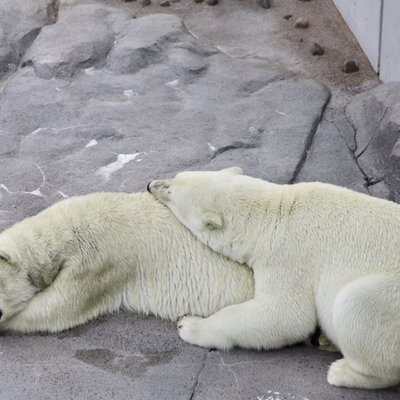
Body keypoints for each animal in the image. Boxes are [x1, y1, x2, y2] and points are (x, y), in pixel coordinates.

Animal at [148, 167, 400, 390]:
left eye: (171, 190)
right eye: (176, 176)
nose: (151, 184)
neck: (275, 213)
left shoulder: (287, 256)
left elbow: (286, 315)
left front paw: (189, 324)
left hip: (387, 296)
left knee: (355, 304)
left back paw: (341, 372)